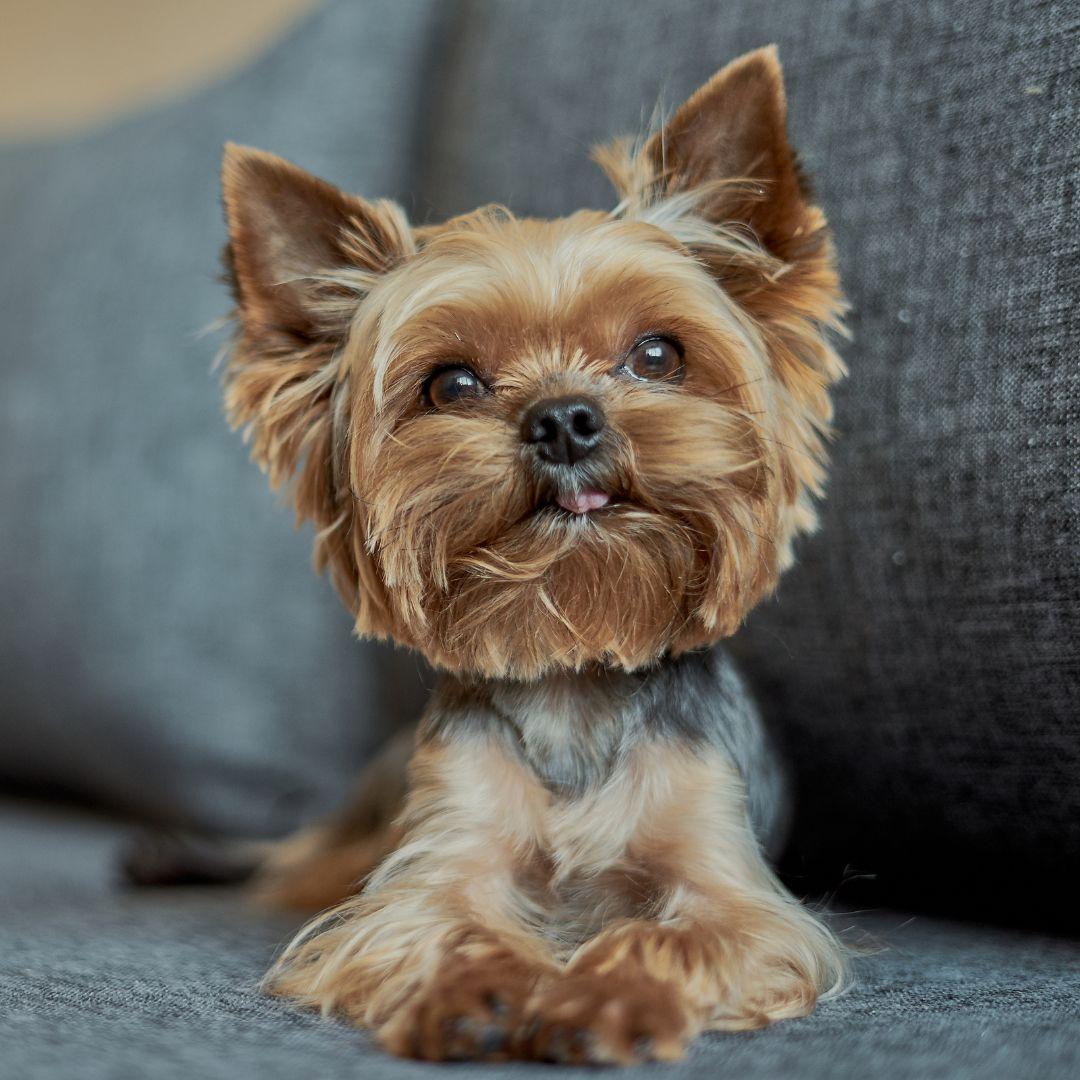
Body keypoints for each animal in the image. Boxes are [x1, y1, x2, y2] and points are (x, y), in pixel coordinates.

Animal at [172, 44, 846, 1062]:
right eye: (450, 384)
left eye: (657, 355)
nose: (565, 419)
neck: (571, 679)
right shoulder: (439, 857)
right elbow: (432, 918)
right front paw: (475, 990)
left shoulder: (732, 883)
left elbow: (675, 932)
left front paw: (603, 999)